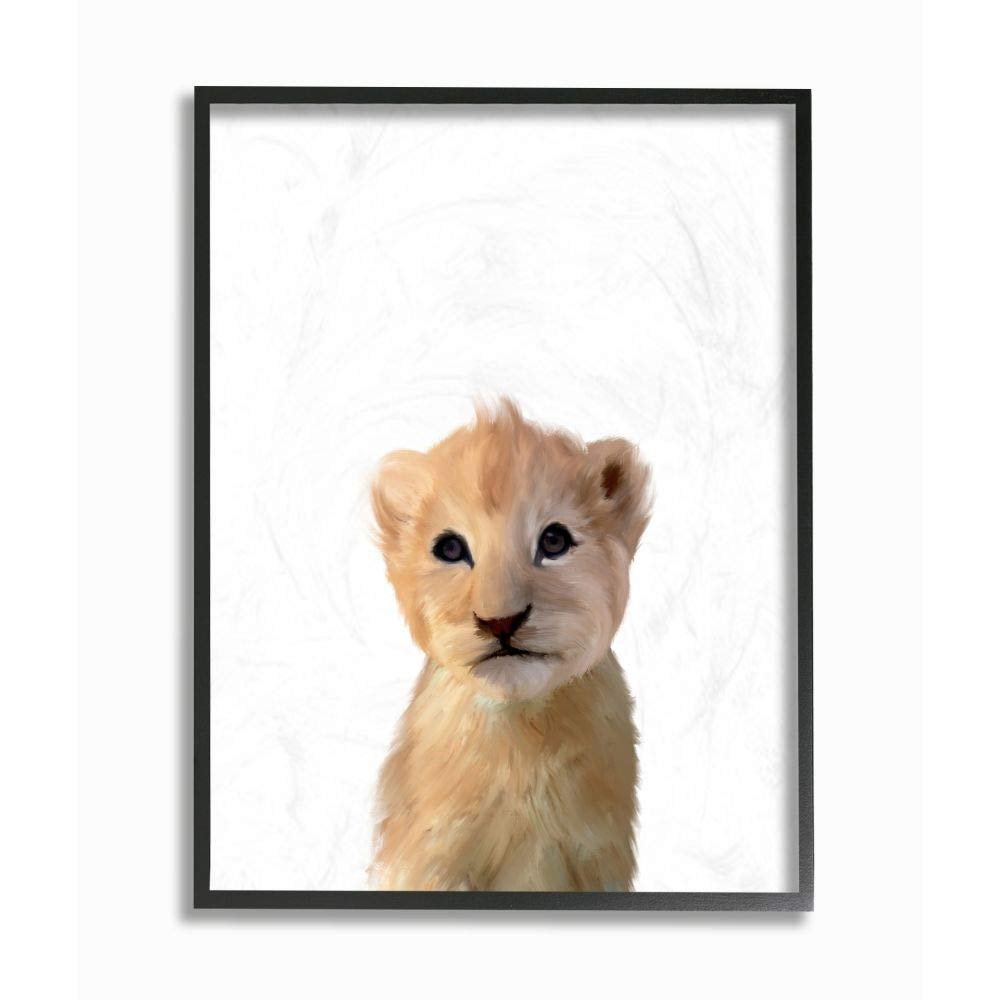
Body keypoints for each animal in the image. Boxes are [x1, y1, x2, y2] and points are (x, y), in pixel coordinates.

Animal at [369, 398, 652, 891]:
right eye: (449, 548)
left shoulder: (598, 855)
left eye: (554, 540)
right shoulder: (428, 857)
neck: (520, 736)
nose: (500, 620)